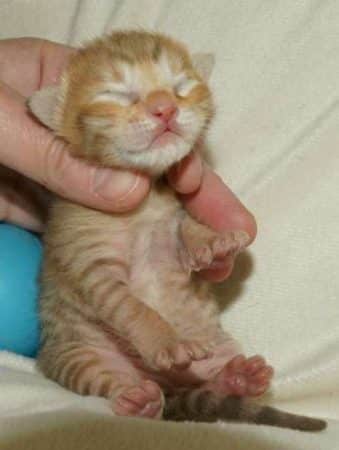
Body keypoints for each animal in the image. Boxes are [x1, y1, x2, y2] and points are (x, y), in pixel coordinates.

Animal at [28, 29, 326, 430]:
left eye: (181, 86)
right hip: (77, 352)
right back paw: (139, 401)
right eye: (114, 94)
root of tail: (168, 388)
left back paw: (239, 378)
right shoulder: (89, 263)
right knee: (107, 378)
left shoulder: (171, 218)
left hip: (219, 346)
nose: (164, 108)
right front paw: (168, 342)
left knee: (210, 379)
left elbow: (186, 227)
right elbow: (132, 306)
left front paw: (214, 243)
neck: (147, 202)